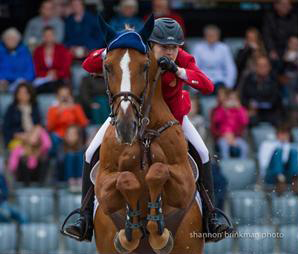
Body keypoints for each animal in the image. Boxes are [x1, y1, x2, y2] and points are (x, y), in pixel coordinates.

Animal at [93, 15, 205, 254]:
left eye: (145, 66)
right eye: (107, 67)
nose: (126, 127)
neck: (143, 136)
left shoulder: (185, 185)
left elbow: (158, 171)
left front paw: (158, 234)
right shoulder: (104, 186)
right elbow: (126, 179)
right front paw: (129, 234)